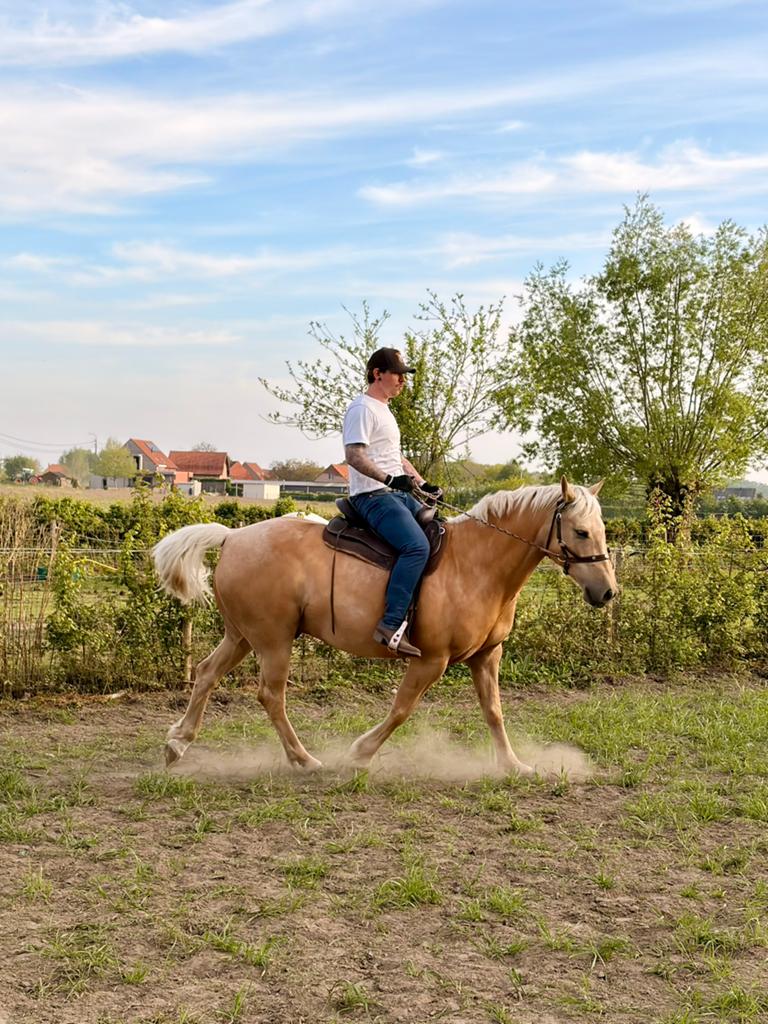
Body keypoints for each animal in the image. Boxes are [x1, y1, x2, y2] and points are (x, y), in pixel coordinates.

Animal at [152, 476, 616, 776]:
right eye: (580, 531)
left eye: (602, 530)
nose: (608, 592)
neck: (476, 564)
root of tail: (232, 537)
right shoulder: (431, 660)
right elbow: (401, 709)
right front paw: (359, 753)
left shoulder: (487, 656)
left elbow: (494, 711)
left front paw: (514, 765)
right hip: (273, 641)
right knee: (271, 695)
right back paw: (304, 760)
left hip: (242, 636)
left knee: (206, 673)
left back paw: (177, 743)